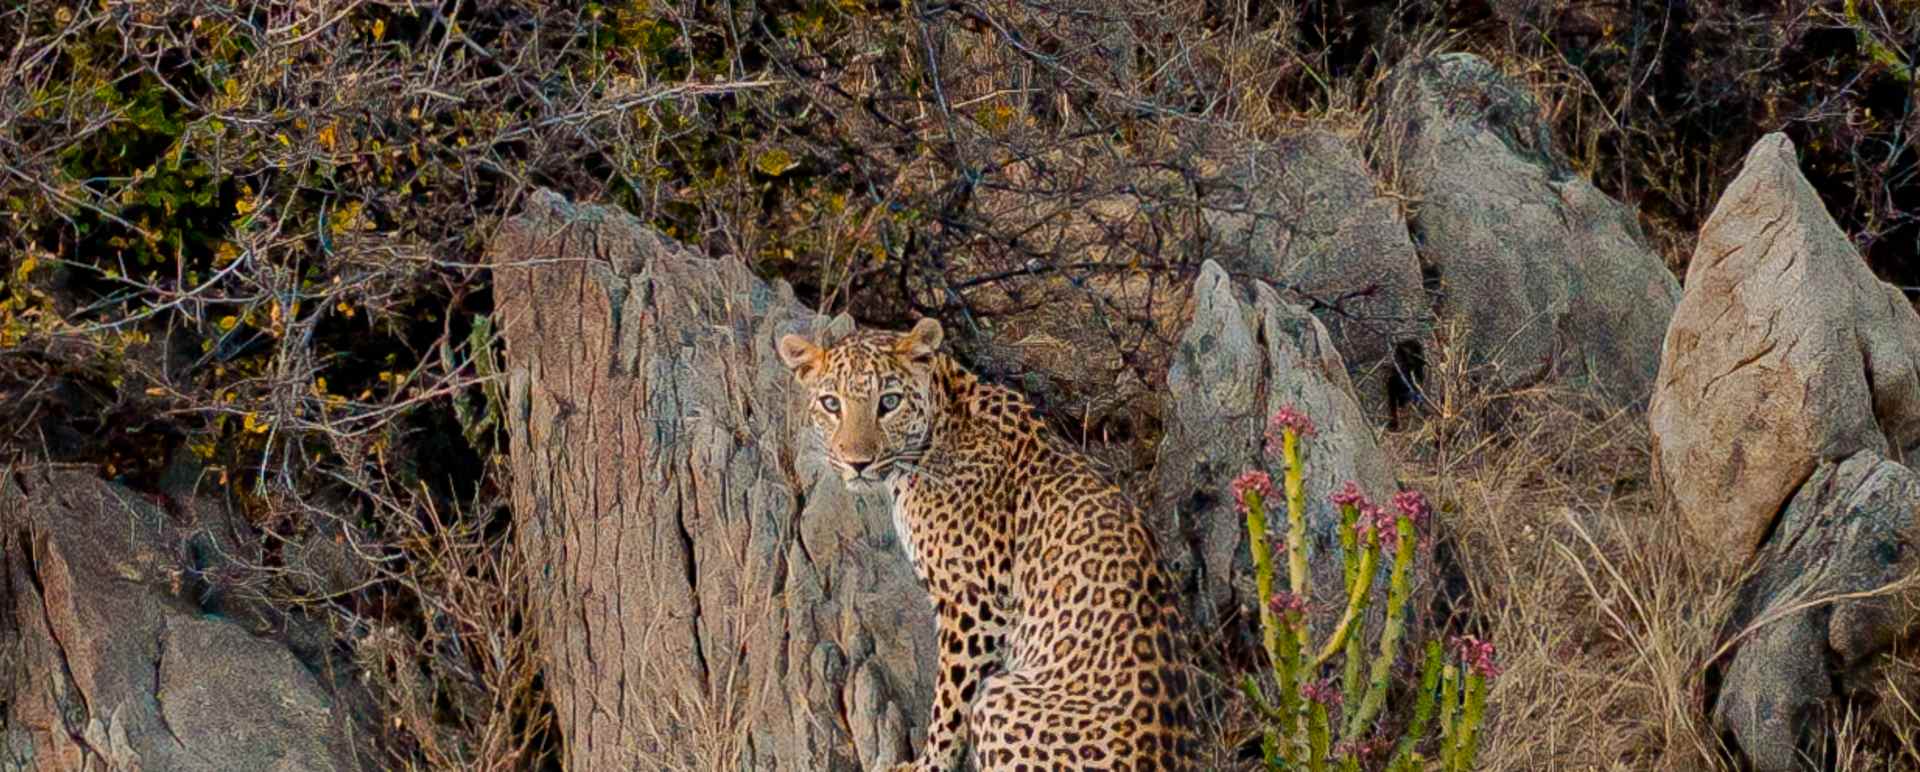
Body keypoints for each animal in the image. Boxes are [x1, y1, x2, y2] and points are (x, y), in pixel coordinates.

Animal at [778, 316, 1201, 771]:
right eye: (831, 404)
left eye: (889, 402)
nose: (857, 462)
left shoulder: (973, 604)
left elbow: (949, 704)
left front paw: (928, 764)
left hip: (1000, 696)